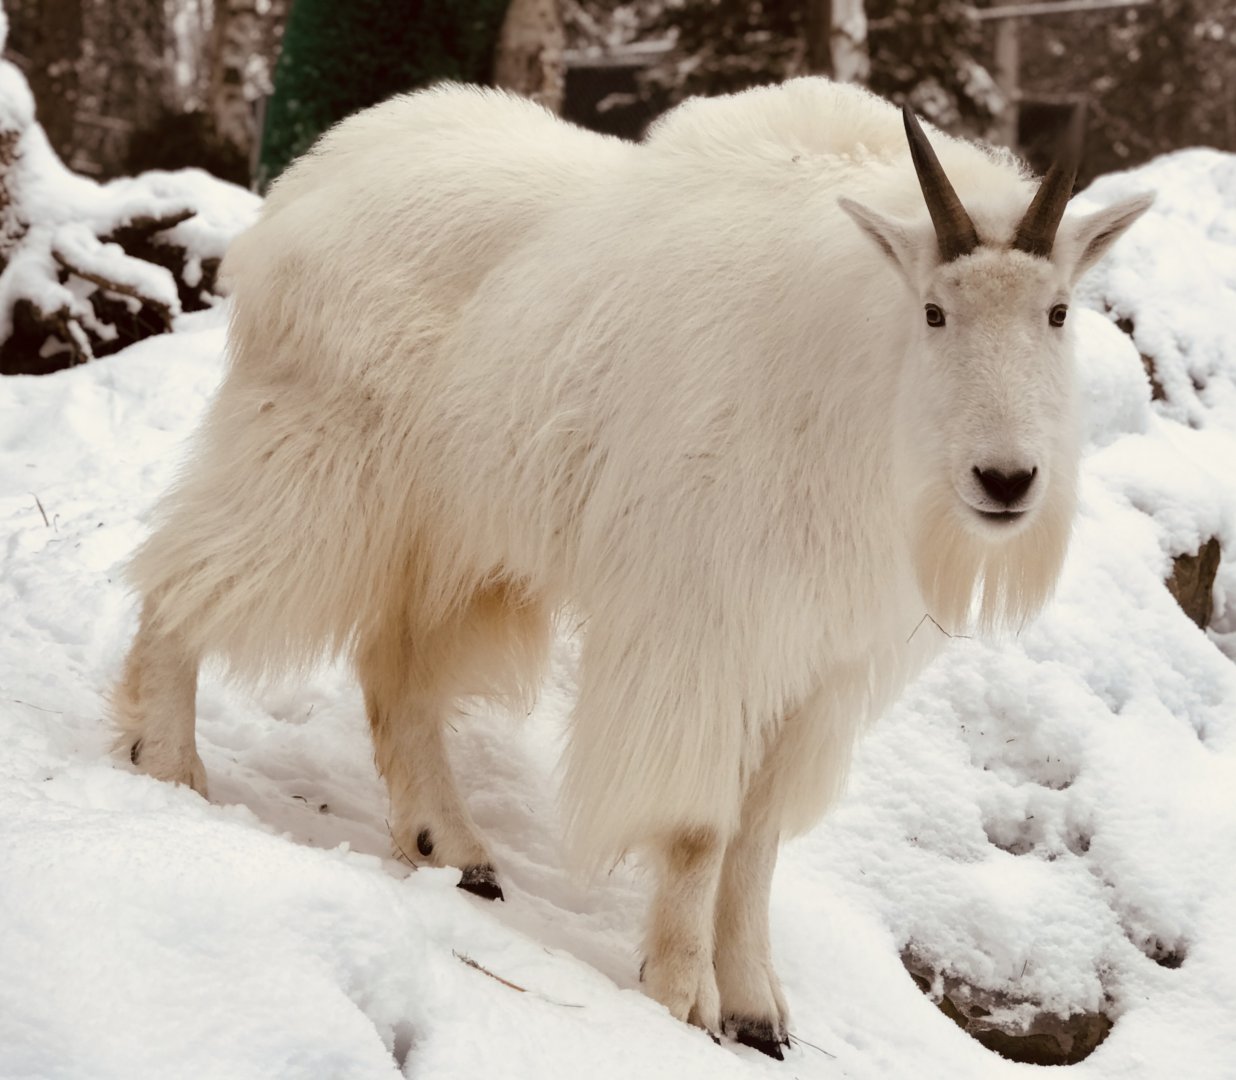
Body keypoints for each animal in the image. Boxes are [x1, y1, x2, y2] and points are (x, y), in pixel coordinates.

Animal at [113, 79, 1150, 1057]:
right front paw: (682, 997)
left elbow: (759, 841)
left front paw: (759, 1012)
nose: (1005, 480)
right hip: (317, 469)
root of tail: (308, 183)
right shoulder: (701, 630)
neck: (863, 383)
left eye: (1059, 312)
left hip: (456, 539)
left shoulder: (817, 670)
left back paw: (451, 849)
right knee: (184, 583)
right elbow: (699, 829)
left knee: (394, 673)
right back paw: (167, 765)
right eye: (935, 310)